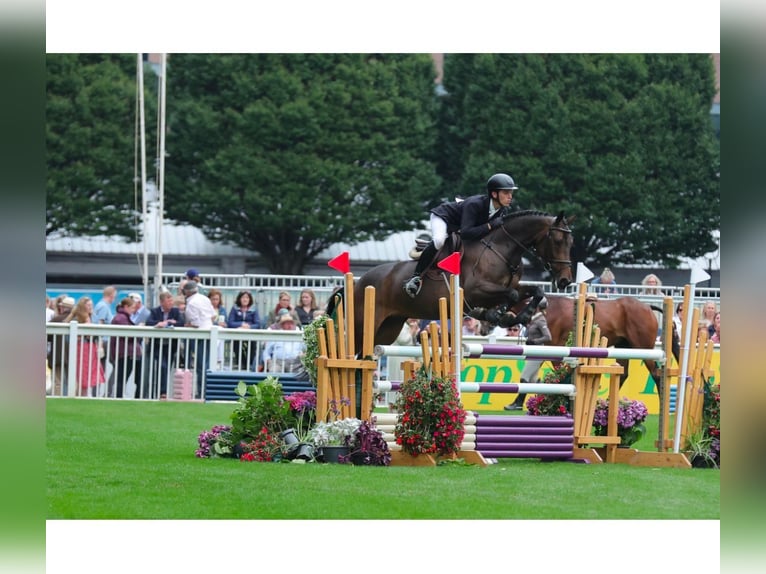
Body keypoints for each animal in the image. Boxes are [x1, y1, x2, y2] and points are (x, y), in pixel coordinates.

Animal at [330, 212, 576, 356]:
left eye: (571, 242)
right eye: (557, 241)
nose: (565, 280)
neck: (502, 249)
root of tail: (358, 283)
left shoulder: (510, 286)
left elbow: (533, 290)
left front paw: (511, 315)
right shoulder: (475, 291)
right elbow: (512, 296)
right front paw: (499, 314)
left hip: (388, 328)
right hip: (363, 323)